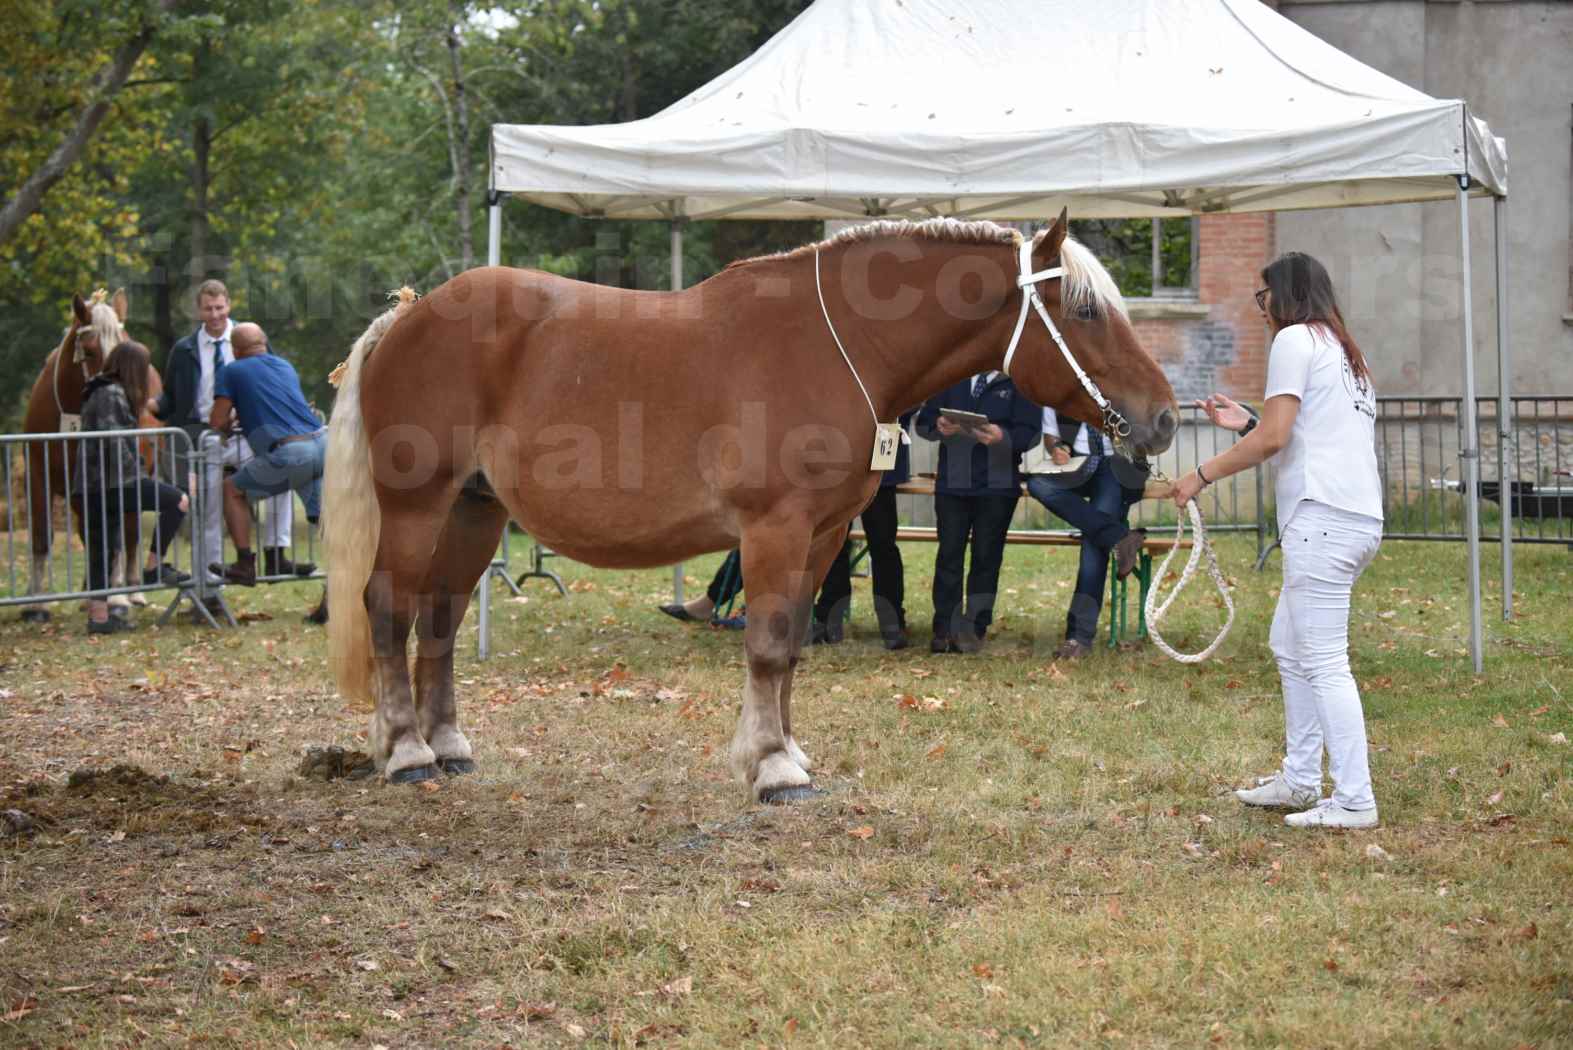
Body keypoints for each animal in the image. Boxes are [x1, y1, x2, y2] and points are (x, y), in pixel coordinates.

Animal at [16, 290, 164, 619]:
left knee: (130, 531)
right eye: (91, 350)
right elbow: (43, 536)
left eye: (125, 342)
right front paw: (36, 603)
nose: (129, 401)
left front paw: (118, 598)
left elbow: (117, 536)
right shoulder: (38, 476)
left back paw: (130, 591)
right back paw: (90, 593)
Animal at [325, 216, 1176, 798]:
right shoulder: (775, 529)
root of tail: (407, 316)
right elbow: (766, 646)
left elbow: (794, 643)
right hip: (418, 505)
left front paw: (789, 752)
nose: (1164, 418)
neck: (835, 343)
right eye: (1086, 312)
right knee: (389, 608)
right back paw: (405, 752)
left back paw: (447, 746)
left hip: (473, 511)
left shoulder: (825, 535)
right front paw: (770, 768)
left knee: (439, 616)